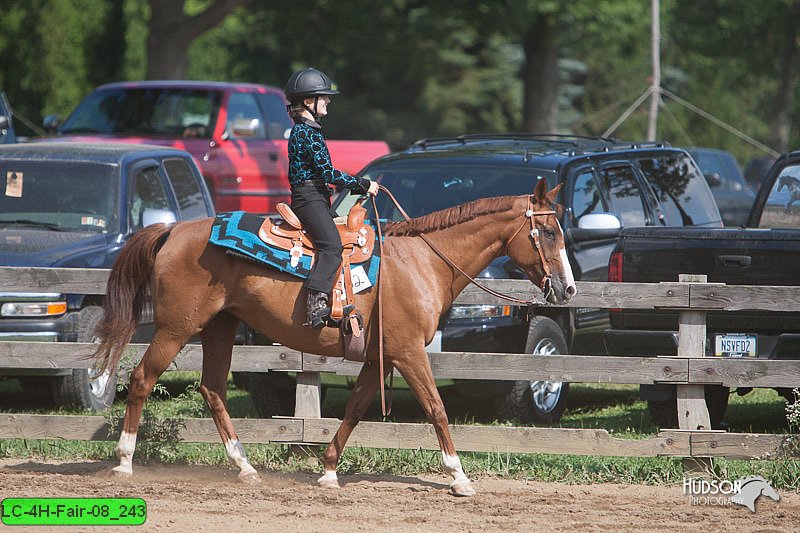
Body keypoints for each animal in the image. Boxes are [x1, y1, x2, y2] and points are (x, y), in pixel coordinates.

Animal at [94, 179, 576, 494]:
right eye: (549, 231)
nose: (568, 289)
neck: (422, 262)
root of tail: (173, 230)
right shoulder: (408, 353)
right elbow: (436, 408)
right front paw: (458, 476)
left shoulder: (380, 356)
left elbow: (357, 407)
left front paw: (328, 470)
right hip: (176, 328)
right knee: (141, 379)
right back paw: (124, 461)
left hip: (220, 328)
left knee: (213, 389)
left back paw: (244, 466)